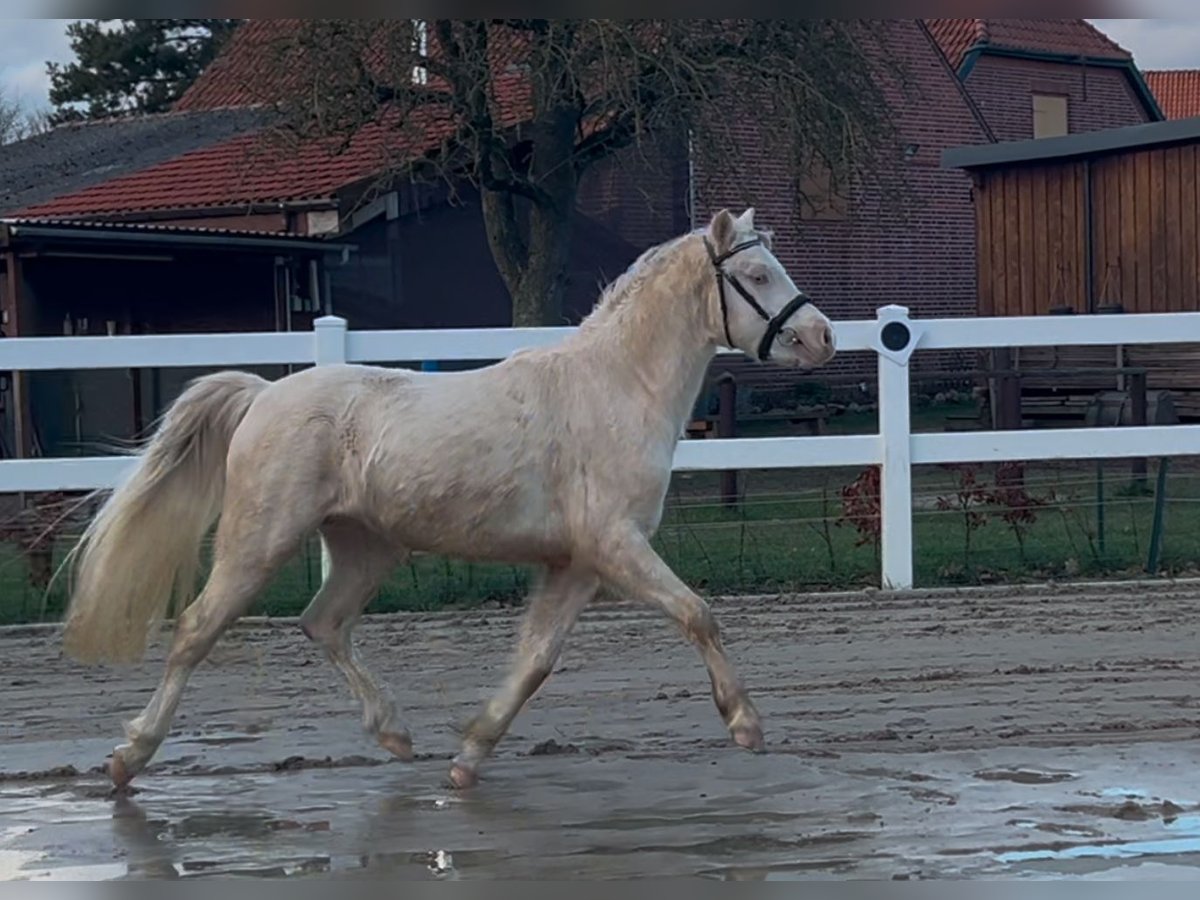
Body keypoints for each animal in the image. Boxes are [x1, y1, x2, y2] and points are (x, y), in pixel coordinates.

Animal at [60, 210, 835, 787]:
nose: (821, 336)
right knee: (197, 629)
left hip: (365, 547)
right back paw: (129, 757)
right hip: (260, 541)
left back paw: (396, 735)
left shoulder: (578, 564)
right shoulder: (616, 545)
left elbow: (535, 660)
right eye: (757, 274)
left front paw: (470, 755)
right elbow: (697, 614)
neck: (615, 387)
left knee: (323, 622)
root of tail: (262, 396)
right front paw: (745, 723)